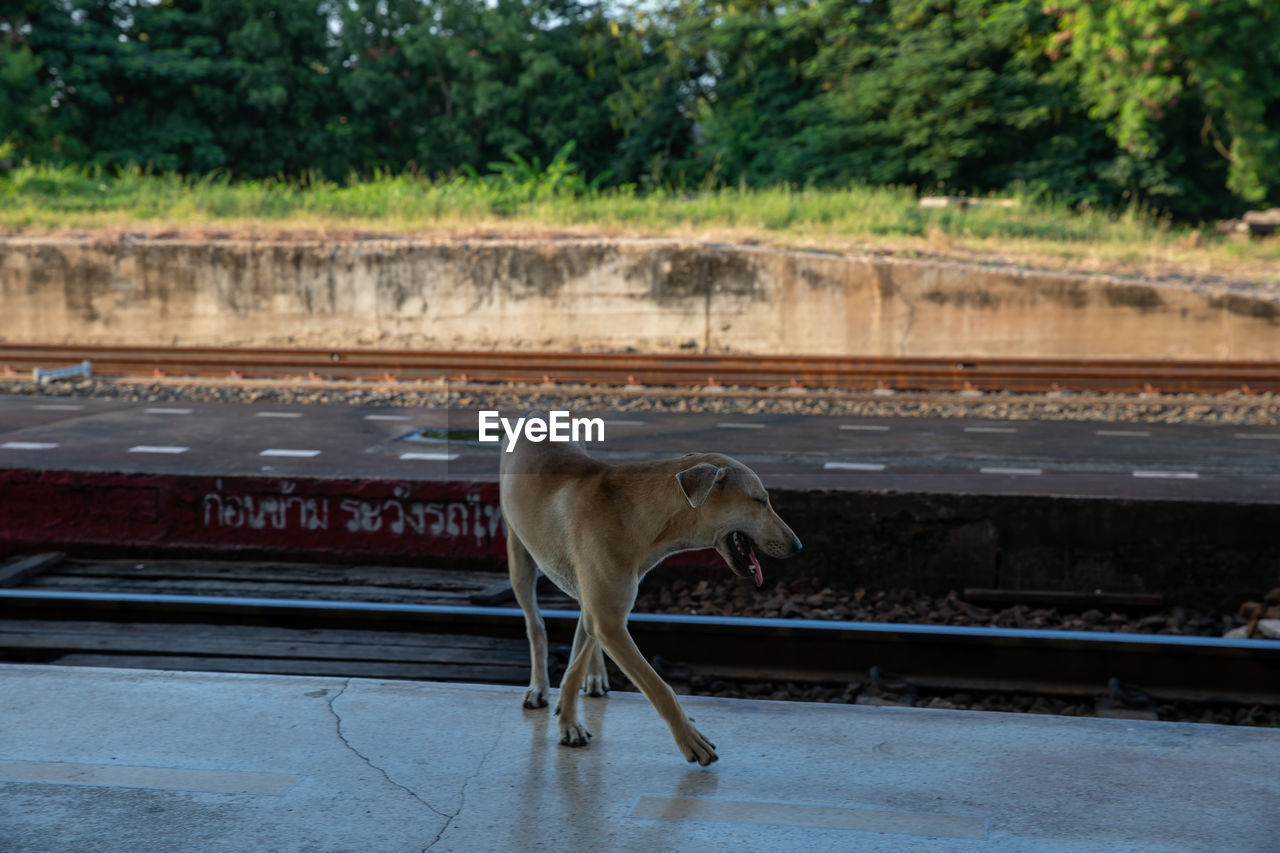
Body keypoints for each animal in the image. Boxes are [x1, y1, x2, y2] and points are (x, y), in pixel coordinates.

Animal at [499, 425, 798, 763]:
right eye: (760, 501)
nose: (798, 545)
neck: (637, 515)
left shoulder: (606, 607)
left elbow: (577, 660)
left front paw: (569, 718)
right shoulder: (609, 621)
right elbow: (658, 686)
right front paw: (690, 738)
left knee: (582, 632)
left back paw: (594, 675)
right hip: (519, 558)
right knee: (536, 625)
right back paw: (539, 686)